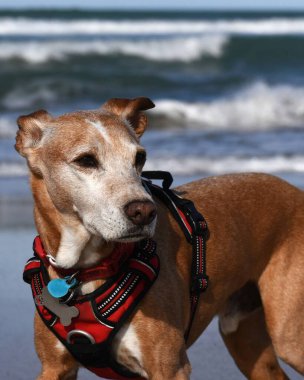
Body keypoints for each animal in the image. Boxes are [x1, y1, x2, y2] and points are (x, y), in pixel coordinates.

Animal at [15, 98, 304, 380]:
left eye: (140, 158)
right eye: (86, 160)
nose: (144, 211)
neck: (85, 270)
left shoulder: (170, 368)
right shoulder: (54, 367)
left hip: (287, 335)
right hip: (244, 338)